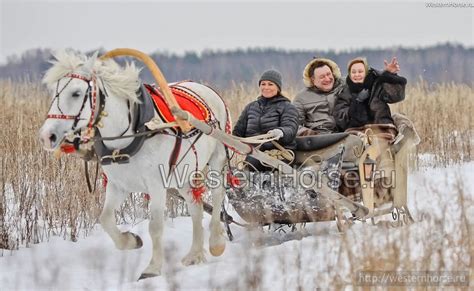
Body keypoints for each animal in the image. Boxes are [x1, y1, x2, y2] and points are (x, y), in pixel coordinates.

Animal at [39, 52, 228, 280]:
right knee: (196, 207)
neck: (134, 131)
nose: (47, 136)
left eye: (76, 93)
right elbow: (105, 218)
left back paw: (216, 241)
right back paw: (195, 254)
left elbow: (155, 226)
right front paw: (130, 240)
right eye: (53, 91)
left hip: (217, 157)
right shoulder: (118, 185)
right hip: (184, 173)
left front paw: (152, 268)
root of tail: (204, 86)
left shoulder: (157, 184)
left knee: (217, 195)